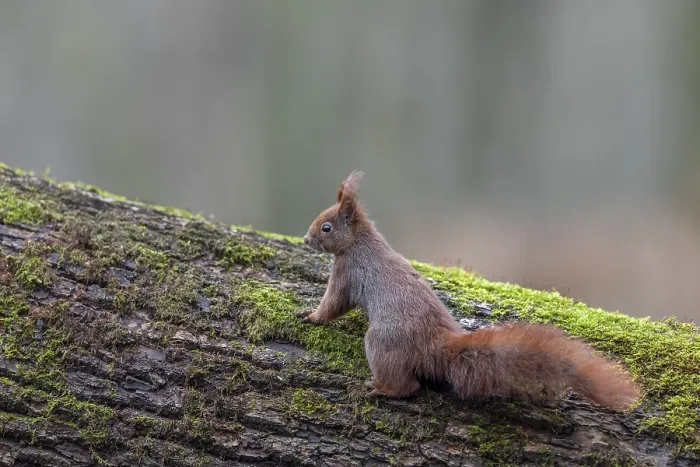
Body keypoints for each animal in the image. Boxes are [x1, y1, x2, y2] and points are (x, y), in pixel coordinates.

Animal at [297, 170, 640, 411]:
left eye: (327, 227)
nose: (305, 239)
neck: (359, 241)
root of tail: (436, 344)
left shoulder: (347, 272)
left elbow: (334, 303)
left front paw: (311, 315)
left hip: (383, 342)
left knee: (408, 386)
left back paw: (382, 388)